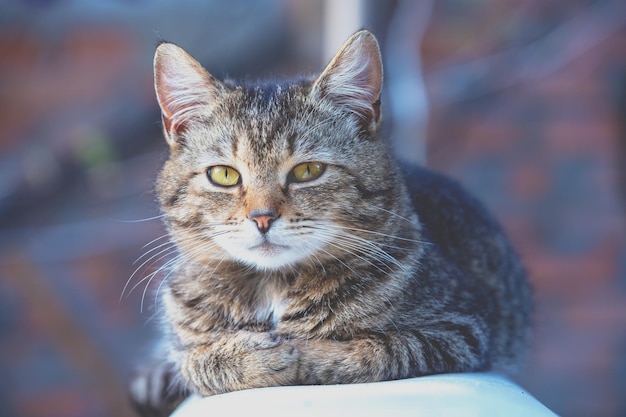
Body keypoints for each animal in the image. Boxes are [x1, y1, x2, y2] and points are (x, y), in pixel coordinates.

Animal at [129, 30, 528, 416]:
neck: (273, 288)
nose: (262, 217)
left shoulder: (461, 327)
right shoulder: (182, 343)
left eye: (308, 171)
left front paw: (299, 353)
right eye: (224, 175)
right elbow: (194, 361)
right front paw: (251, 356)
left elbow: (377, 350)